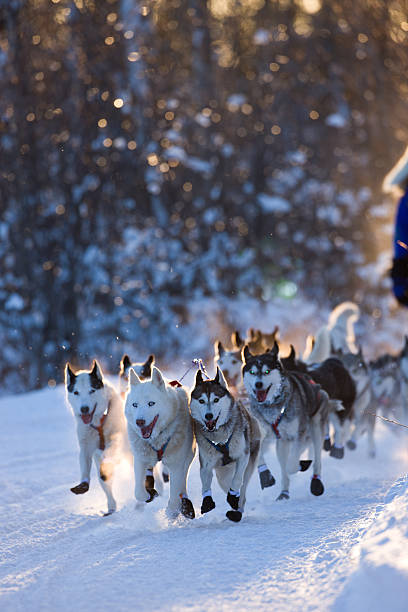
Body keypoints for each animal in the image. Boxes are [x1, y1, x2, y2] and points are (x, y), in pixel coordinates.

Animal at [65, 360, 127, 512]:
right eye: (76, 392)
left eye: (92, 390)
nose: (84, 409)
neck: (99, 421)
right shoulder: (86, 447)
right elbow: (86, 465)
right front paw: (83, 483)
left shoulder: (116, 438)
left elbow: (110, 449)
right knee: (105, 482)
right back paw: (111, 507)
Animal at [124, 366, 196, 520]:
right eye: (135, 405)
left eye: (151, 403)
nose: (139, 422)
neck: (156, 439)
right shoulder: (140, 460)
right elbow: (138, 492)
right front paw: (148, 495)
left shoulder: (177, 464)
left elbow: (175, 493)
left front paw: (171, 512)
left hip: (188, 457)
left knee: (182, 481)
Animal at [190, 368, 260, 520]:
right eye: (201, 401)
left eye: (216, 399)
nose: (209, 416)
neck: (219, 436)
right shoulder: (206, 463)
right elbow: (205, 482)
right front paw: (207, 501)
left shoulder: (243, 456)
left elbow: (237, 479)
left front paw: (233, 497)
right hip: (222, 475)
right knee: (227, 484)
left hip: (249, 464)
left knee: (242, 490)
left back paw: (237, 510)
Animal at [244, 342, 330, 500]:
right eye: (252, 372)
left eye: (266, 371)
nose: (258, 384)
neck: (271, 406)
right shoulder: (262, 433)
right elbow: (260, 455)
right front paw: (265, 475)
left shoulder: (298, 434)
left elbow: (291, 465)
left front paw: (299, 465)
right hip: (282, 443)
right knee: (284, 468)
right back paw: (284, 492)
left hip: (316, 427)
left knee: (316, 459)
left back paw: (315, 482)